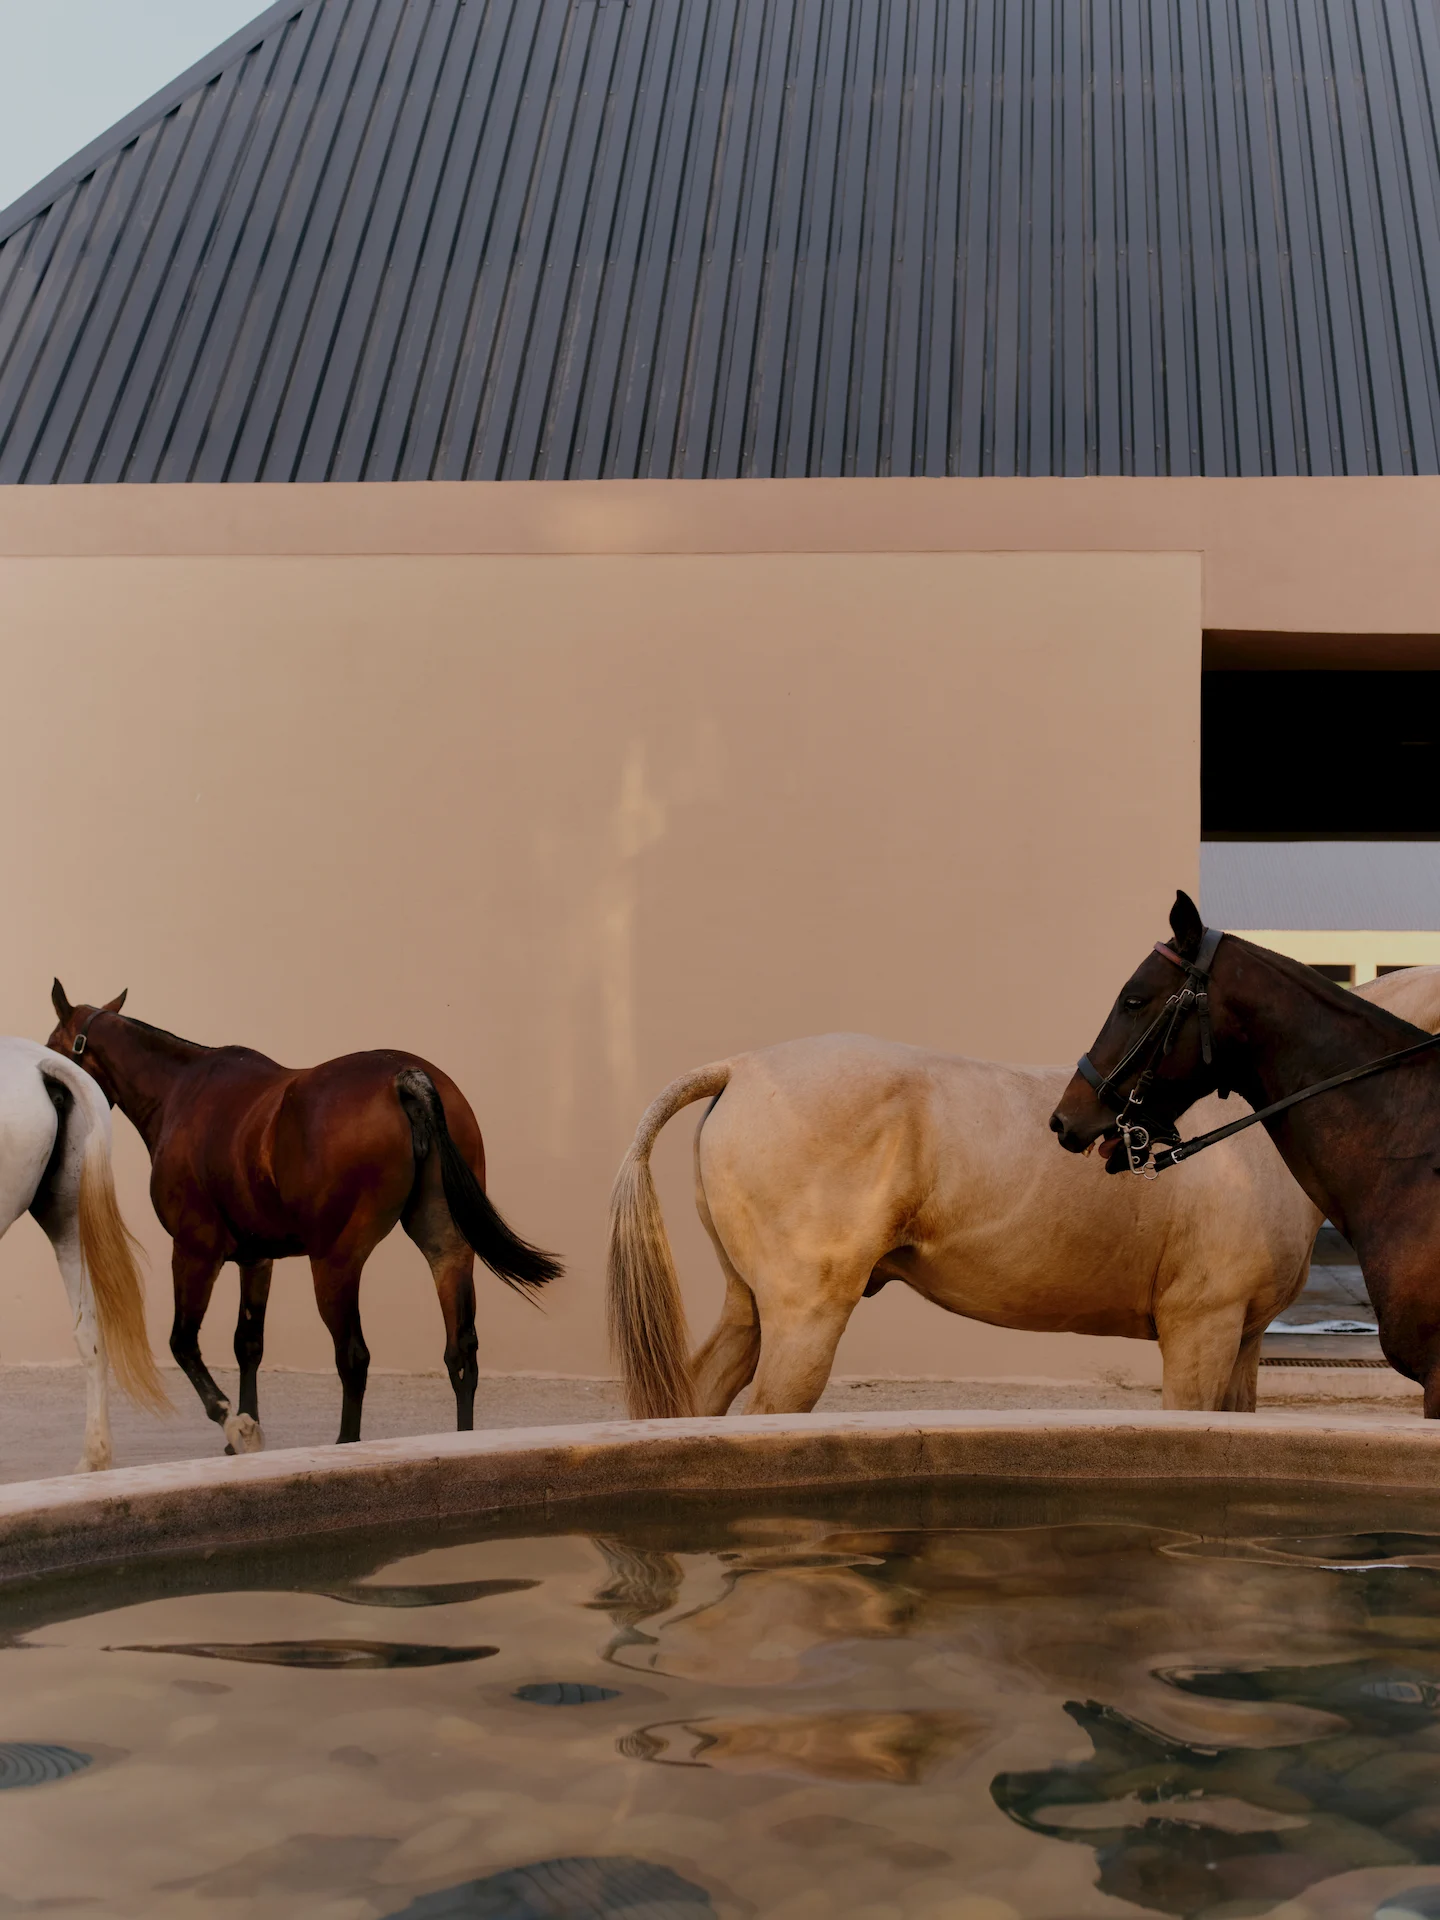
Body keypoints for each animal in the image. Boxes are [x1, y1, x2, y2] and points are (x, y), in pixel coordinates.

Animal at [46, 984, 562, 1451]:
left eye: (52, 1051)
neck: (182, 1091)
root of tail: (405, 1079)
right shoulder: (256, 1259)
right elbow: (247, 1344)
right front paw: (244, 1429)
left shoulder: (195, 1250)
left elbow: (183, 1343)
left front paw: (233, 1423)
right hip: (447, 1248)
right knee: (461, 1353)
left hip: (334, 1262)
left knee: (353, 1356)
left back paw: (345, 1443)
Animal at [606, 974, 1440, 1422]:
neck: (1250, 1140)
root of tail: (741, 1069)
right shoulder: (1200, 1330)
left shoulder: (1244, 1339)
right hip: (803, 1316)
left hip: (750, 1305)